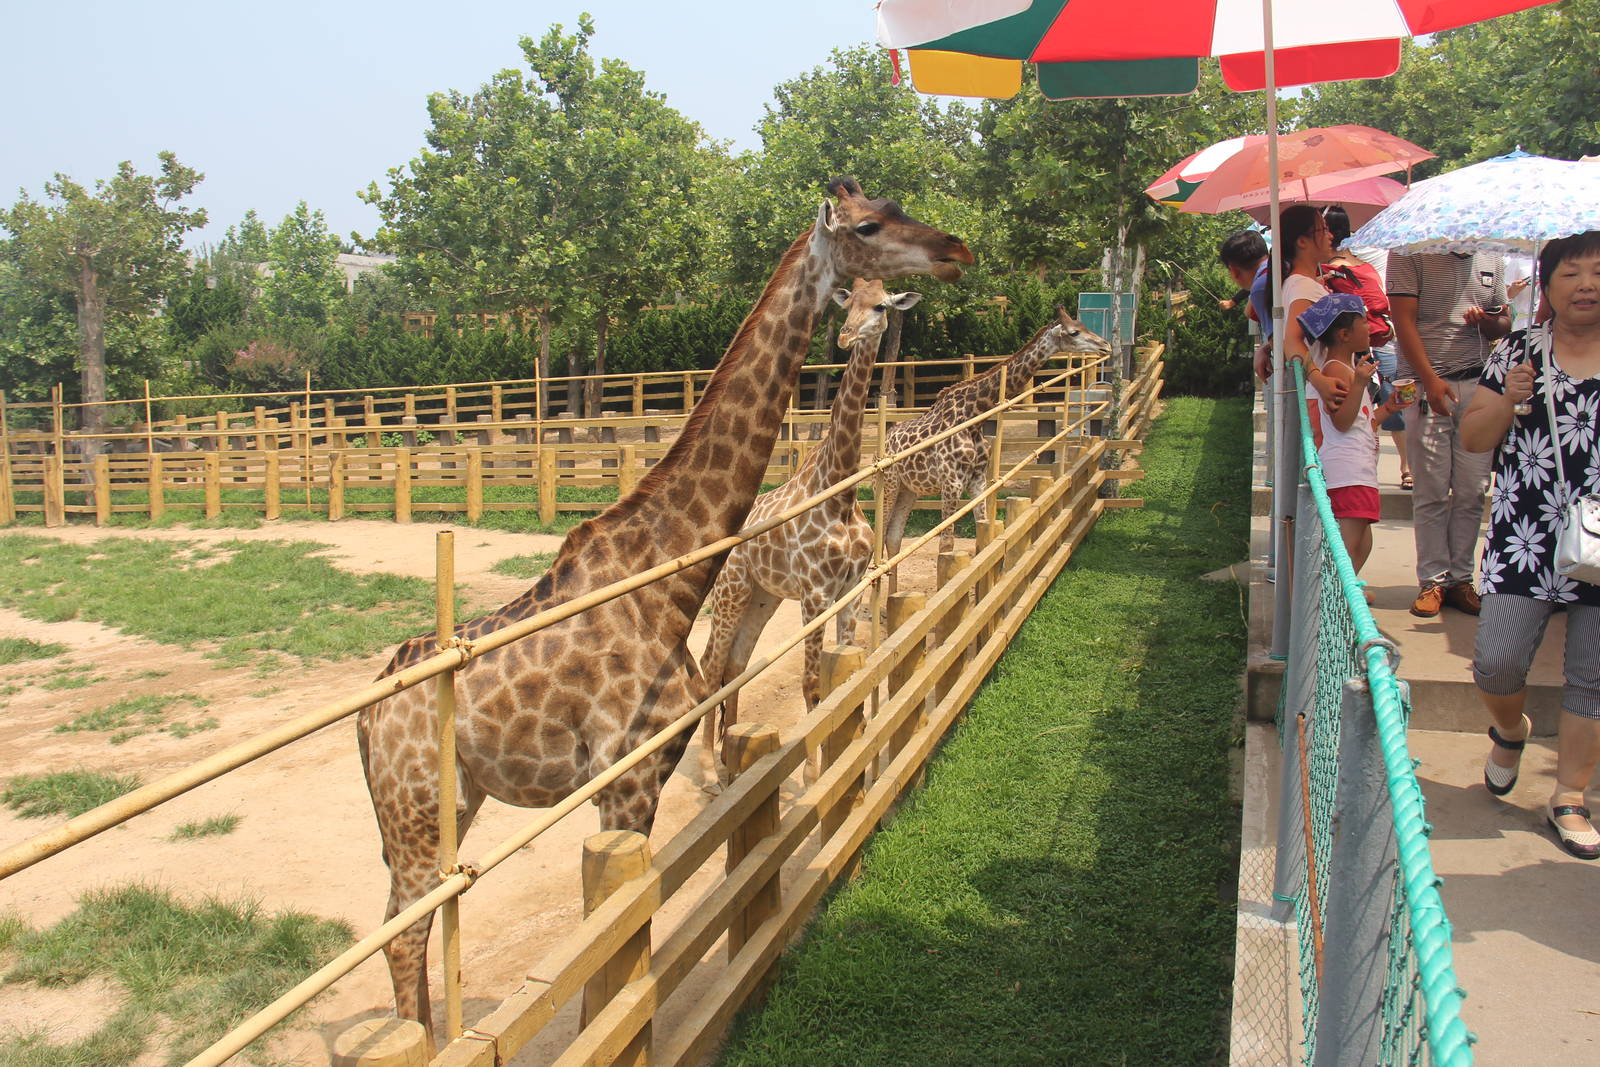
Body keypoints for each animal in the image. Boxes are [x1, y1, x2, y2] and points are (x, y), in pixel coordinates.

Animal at [697, 278, 922, 782]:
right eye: (848, 304)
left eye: (881, 306)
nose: (846, 337)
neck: (839, 493)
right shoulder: (816, 592)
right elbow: (812, 684)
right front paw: (812, 775)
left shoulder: (849, 588)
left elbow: (845, 675)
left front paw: (853, 758)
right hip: (732, 589)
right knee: (710, 668)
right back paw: (711, 773)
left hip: (763, 596)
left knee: (734, 666)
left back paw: (730, 767)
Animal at [877, 307, 1111, 561]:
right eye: (1074, 332)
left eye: (1084, 325)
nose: (1106, 346)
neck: (972, 417)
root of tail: (884, 442)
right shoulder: (951, 482)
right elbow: (946, 544)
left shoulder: (977, 480)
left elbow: (983, 534)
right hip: (890, 483)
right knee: (880, 533)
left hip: (909, 489)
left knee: (893, 536)